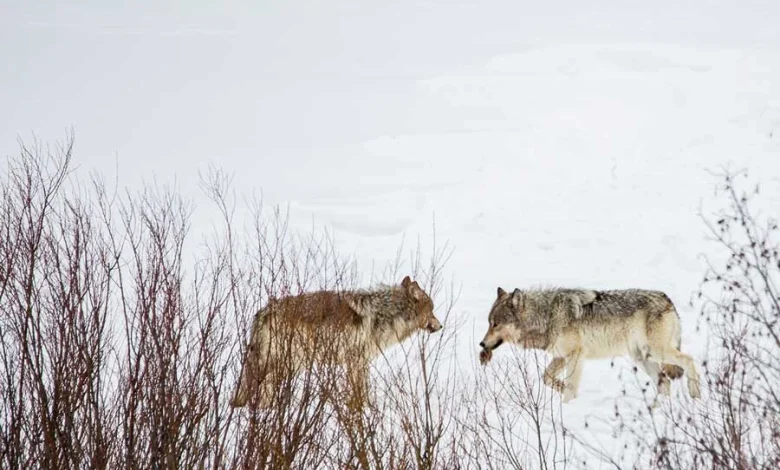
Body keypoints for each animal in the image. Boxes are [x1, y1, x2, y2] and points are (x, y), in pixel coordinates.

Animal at [231, 275, 443, 408]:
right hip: (284, 362)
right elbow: (362, 392)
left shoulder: (357, 362)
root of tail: (263, 312)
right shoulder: (357, 360)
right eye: (432, 310)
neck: (384, 314)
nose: (441, 326)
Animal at [478, 287, 701, 403]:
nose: (481, 343)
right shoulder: (561, 356)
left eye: (495, 324)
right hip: (643, 358)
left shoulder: (576, 356)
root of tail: (667, 298)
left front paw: (567, 406)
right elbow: (547, 377)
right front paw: (560, 388)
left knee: (689, 360)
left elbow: (570, 388)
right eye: (489, 323)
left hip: (657, 353)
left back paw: (695, 395)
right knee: (665, 382)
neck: (546, 316)